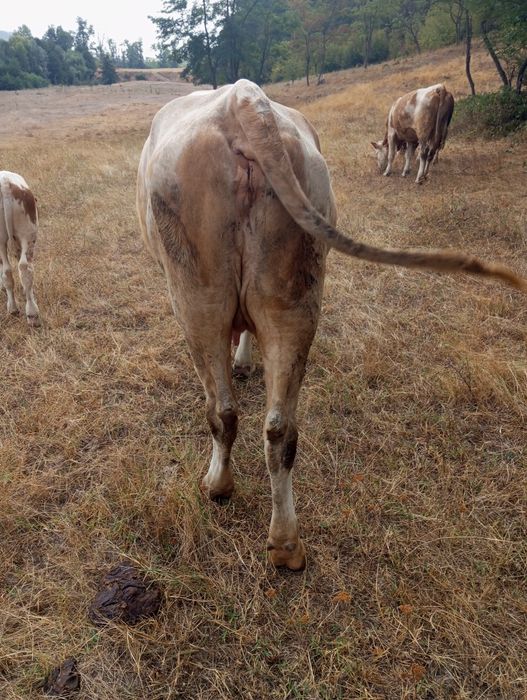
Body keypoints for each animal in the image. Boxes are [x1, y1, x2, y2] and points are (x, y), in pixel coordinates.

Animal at [0, 171, 41, 326]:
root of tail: (5, 183)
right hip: (26, 235)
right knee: (20, 269)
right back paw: (26, 312)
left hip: (25, 234)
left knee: (18, 269)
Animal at [137, 79, 525, 571]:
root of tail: (243, 100)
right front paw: (245, 361)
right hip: (295, 297)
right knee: (280, 430)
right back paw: (286, 545)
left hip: (195, 297)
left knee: (222, 411)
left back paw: (218, 487)